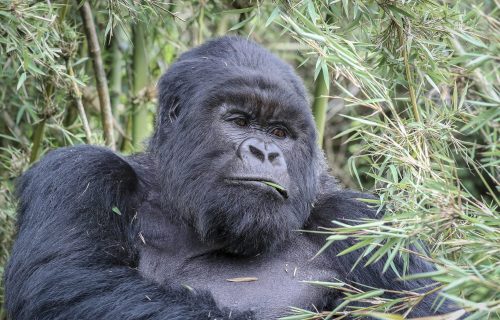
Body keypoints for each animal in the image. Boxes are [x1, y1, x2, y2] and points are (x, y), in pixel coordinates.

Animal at [3, 36, 458, 318]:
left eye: (279, 132)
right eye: (239, 121)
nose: (266, 152)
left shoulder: (360, 219)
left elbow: (430, 308)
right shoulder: (79, 172)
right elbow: (71, 283)